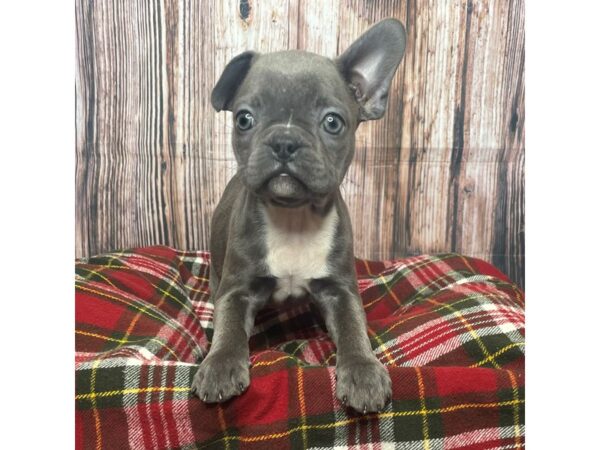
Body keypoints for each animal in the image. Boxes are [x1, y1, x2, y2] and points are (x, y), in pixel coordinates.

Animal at [192, 18, 408, 414]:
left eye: (333, 123)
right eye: (244, 119)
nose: (284, 141)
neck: (291, 219)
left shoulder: (340, 290)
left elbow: (353, 329)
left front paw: (363, 371)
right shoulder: (237, 289)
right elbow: (229, 328)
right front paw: (220, 365)